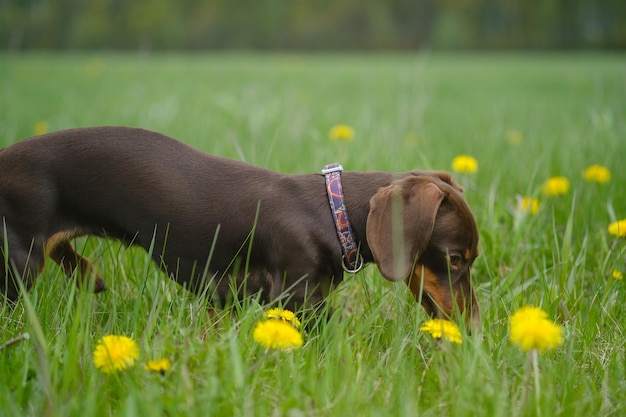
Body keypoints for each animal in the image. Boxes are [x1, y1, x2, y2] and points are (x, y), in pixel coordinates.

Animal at [0, 125, 478, 326]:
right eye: (456, 259)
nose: (474, 330)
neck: (331, 211)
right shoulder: (298, 294)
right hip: (20, 258)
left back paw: (88, 275)